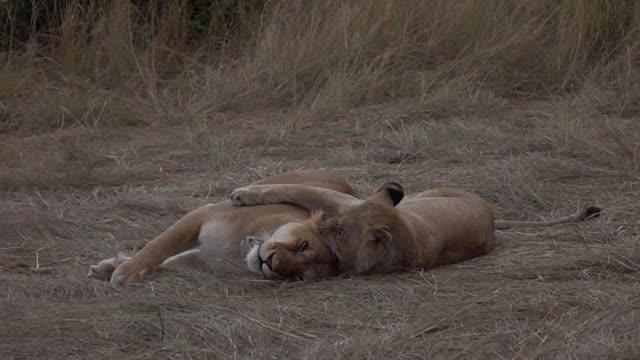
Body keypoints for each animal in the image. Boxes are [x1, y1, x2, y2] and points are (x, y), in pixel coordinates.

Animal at [87, 170, 352, 286]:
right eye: (302, 246)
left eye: (296, 276)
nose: (271, 264)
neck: (238, 252)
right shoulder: (203, 214)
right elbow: (158, 246)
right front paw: (125, 272)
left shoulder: (199, 261)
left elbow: (164, 263)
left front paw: (116, 268)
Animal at [229, 181, 600, 278]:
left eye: (304, 250)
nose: (269, 263)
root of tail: (494, 218)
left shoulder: (339, 201)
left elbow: (291, 187)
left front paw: (242, 194)